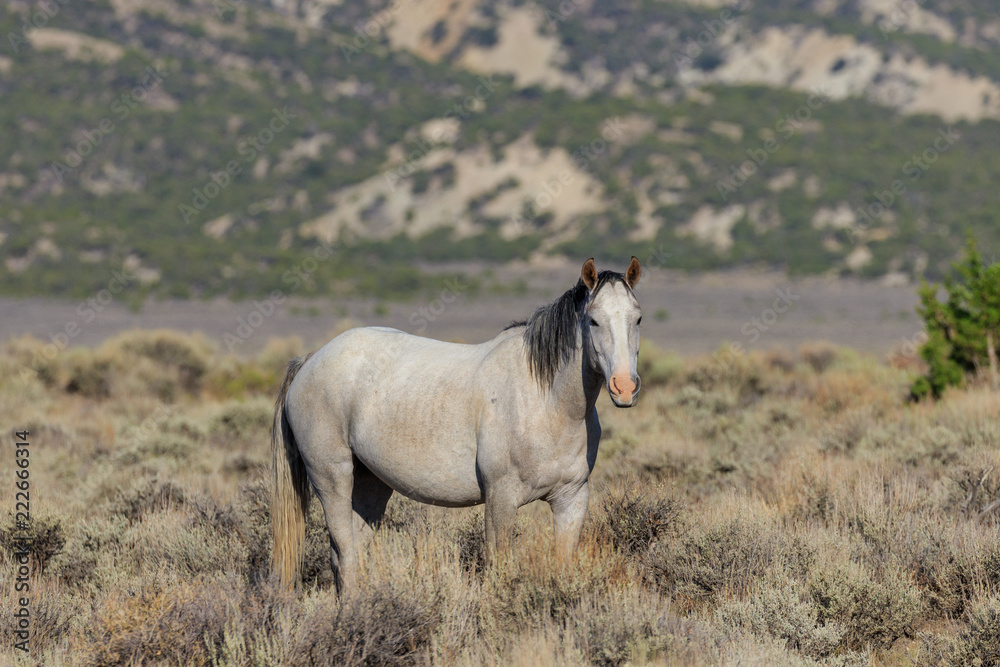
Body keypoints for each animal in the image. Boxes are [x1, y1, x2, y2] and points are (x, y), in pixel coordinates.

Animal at [271, 257, 643, 591]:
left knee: (351, 555)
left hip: (370, 484)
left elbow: (563, 564)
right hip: (332, 480)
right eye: (593, 320)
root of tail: (310, 359)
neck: (547, 403)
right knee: (344, 554)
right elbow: (498, 569)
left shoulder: (571, 499)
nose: (624, 387)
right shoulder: (501, 499)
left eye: (637, 318)